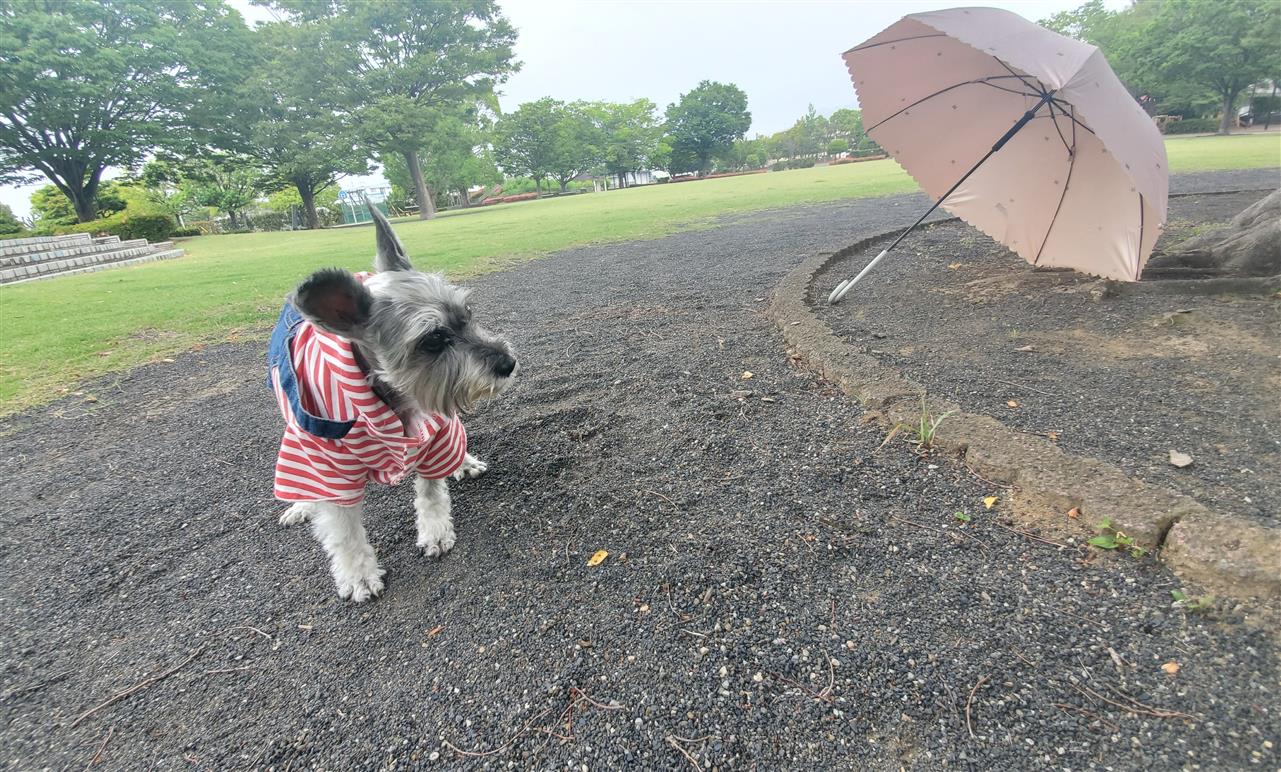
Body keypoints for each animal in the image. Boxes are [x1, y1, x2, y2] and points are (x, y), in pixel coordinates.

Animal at [267, 207, 517, 604]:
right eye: (434, 340)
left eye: (468, 313)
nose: (508, 363)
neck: (394, 396)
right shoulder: (327, 465)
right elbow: (344, 532)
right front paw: (358, 574)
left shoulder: (435, 435)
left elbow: (430, 491)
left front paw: (435, 530)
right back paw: (302, 504)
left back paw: (463, 461)